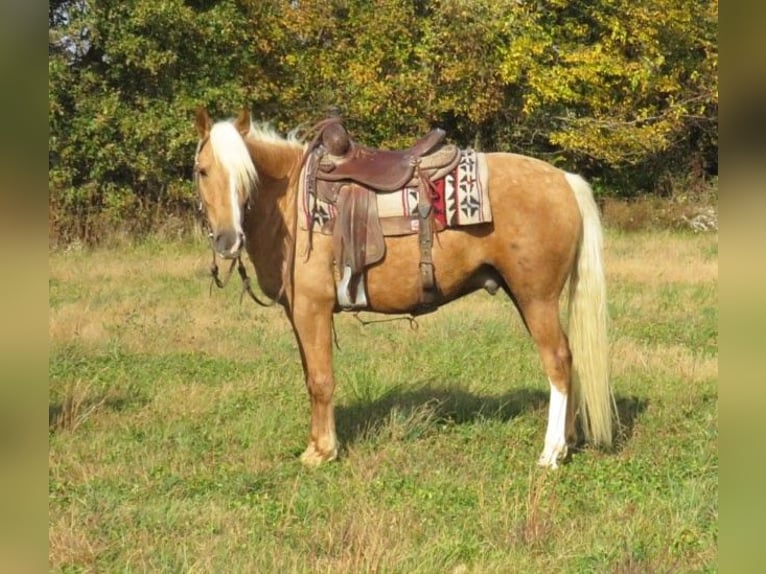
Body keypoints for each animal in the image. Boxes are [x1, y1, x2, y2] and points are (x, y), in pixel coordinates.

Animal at [194, 109, 616, 472]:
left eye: (246, 175)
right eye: (202, 171)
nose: (228, 240)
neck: (292, 205)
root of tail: (564, 180)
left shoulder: (312, 309)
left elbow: (321, 380)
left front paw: (322, 451)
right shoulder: (297, 313)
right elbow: (310, 376)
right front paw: (317, 444)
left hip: (536, 299)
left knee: (557, 361)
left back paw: (551, 452)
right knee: (569, 358)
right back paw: (568, 441)